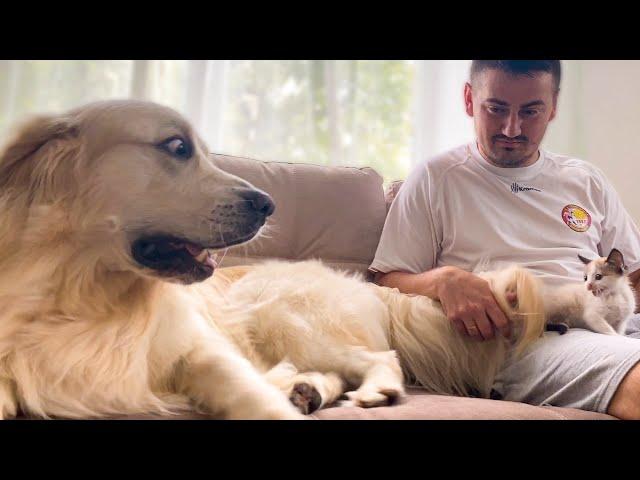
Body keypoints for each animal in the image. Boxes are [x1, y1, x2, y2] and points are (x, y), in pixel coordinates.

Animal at [0, 99, 544, 418]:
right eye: (176, 146)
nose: (267, 204)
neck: (82, 296)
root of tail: (366, 286)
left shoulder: (203, 350)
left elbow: (242, 389)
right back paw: (307, 390)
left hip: (280, 312)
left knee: (377, 357)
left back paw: (367, 391)